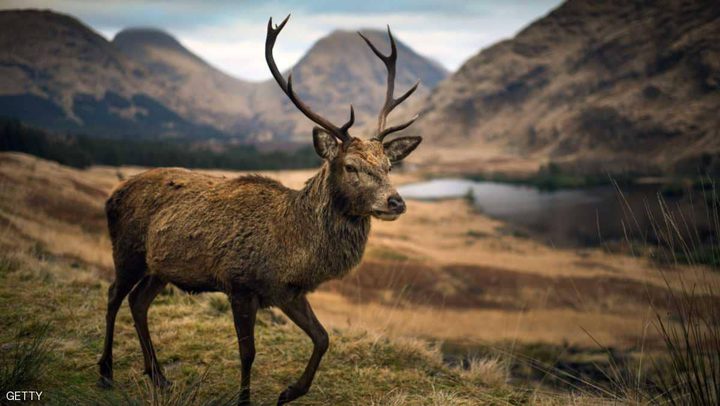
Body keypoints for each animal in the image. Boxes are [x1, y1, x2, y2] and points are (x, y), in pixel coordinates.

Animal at [96, 14, 422, 404]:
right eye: (351, 166)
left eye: (389, 165)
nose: (396, 201)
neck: (293, 250)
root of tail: (112, 195)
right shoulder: (239, 284)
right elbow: (248, 352)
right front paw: (245, 398)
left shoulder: (288, 291)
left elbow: (323, 338)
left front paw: (289, 391)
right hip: (127, 250)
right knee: (114, 295)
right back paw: (106, 372)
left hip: (158, 268)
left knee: (138, 302)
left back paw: (158, 376)